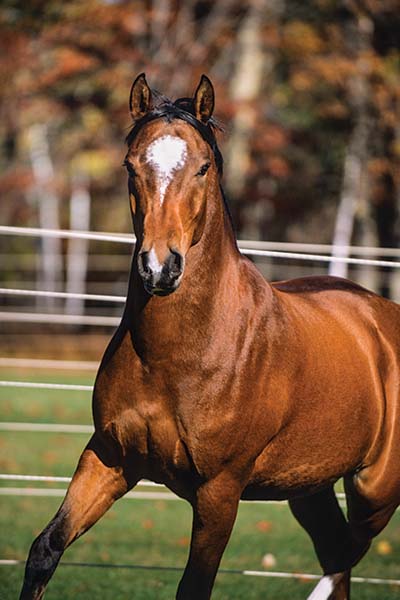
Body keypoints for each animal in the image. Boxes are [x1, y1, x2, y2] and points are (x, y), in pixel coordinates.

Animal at [20, 75, 400, 600]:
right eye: (131, 165)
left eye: (202, 167)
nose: (159, 267)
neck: (181, 354)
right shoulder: (109, 459)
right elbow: (46, 548)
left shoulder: (220, 490)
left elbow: (195, 585)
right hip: (309, 487)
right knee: (336, 556)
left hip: (375, 490)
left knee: (344, 556)